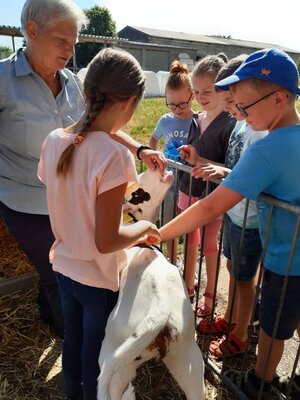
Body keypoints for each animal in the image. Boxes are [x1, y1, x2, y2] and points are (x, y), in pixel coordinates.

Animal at [97, 168, 205, 400]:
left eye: (137, 192)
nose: (156, 168)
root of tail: (161, 309)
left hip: (114, 349)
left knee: (113, 389)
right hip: (188, 358)